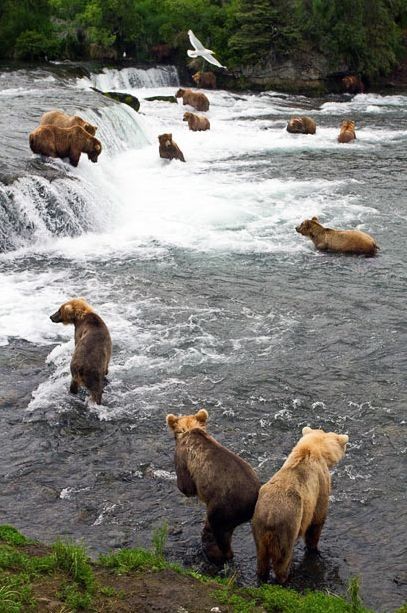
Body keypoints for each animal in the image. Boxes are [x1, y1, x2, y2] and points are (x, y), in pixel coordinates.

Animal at [167, 408, 260, 560]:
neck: (189, 429)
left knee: (218, 531)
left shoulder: (182, 458)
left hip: (223, 507)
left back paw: (215, 552)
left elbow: (186, 486)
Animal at [253, 426, 350, 584]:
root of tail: (270, 516)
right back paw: (285, 578)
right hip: (287, 527)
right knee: (282, 558)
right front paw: (313, 548)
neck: (311, 449)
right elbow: (317, 520)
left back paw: (262, 576)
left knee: (261, 558)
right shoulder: (320, 484)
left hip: (258, 527)